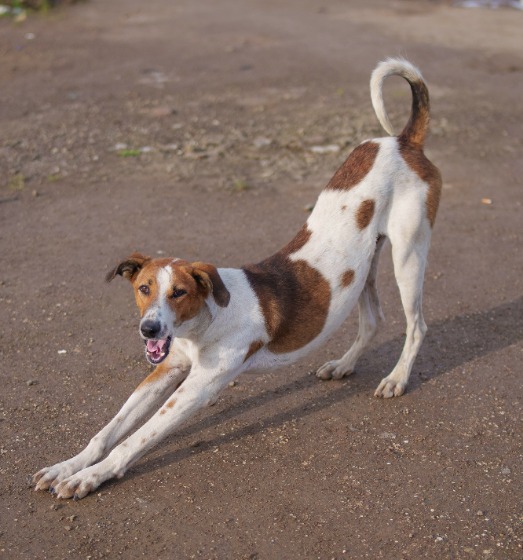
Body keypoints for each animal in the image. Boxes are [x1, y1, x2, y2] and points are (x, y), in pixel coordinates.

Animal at [32, 59, 442, 500]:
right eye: (144, 289)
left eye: (179, 292)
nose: (149, 329)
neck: (204, 323)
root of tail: (402, 141)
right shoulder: (166, 367)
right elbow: (108, 430)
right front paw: (67, 465)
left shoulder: (198, 387)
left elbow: (133, 440)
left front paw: (90, 476)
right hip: (366, 265)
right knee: (373, 320)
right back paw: (344, 365)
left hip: (408, 255)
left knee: (416, 325)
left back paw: (397, 379)